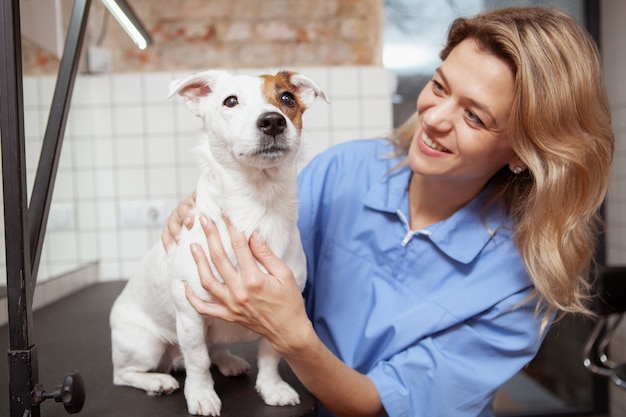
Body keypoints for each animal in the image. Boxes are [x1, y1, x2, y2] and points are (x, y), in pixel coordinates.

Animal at [109, 70, 326, 414]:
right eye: (231, 101)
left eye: (287, 98)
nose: (273, 121)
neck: (257, 206)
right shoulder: (190, 316)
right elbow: (198, 363)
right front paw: (201, 395)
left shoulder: (280, 313)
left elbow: (269, 356)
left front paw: (271, 388)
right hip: (145, 344)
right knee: (125, 374)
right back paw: (156, 381)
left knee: (214, 350)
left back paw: (228, 362)